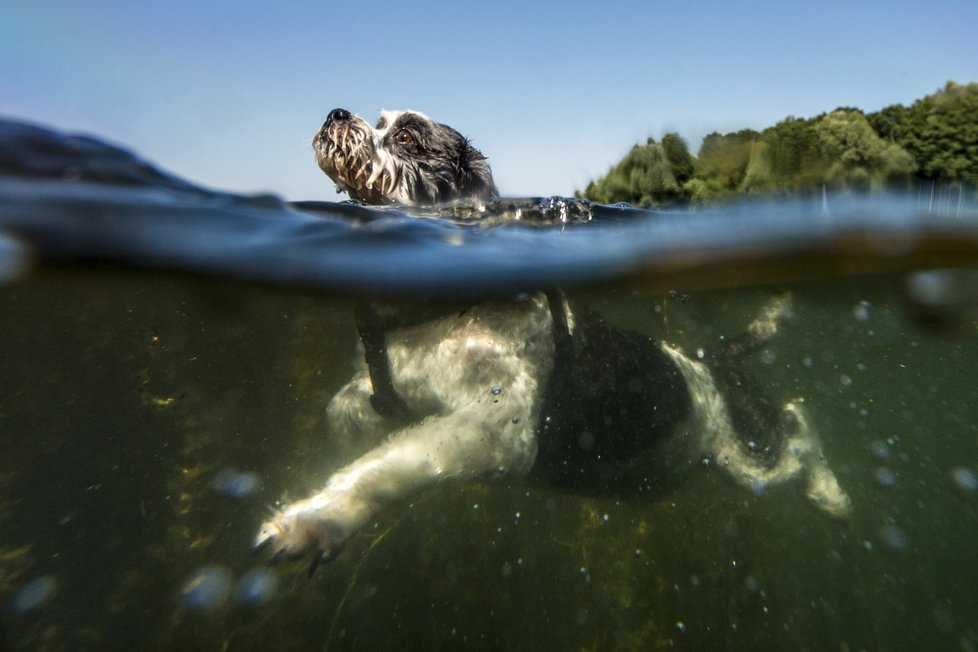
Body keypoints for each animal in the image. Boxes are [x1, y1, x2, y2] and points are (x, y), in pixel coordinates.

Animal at [252, 107, 848, 572]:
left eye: (407, 138)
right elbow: (345, 413)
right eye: (376, 121)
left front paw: (314, 520)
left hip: (749, 450)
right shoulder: (386, 391)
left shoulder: (496, 429)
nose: (336, 113)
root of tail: (709, 358)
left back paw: (830, 493)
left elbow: (391, 468)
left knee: (798, 426)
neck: (435, 316)